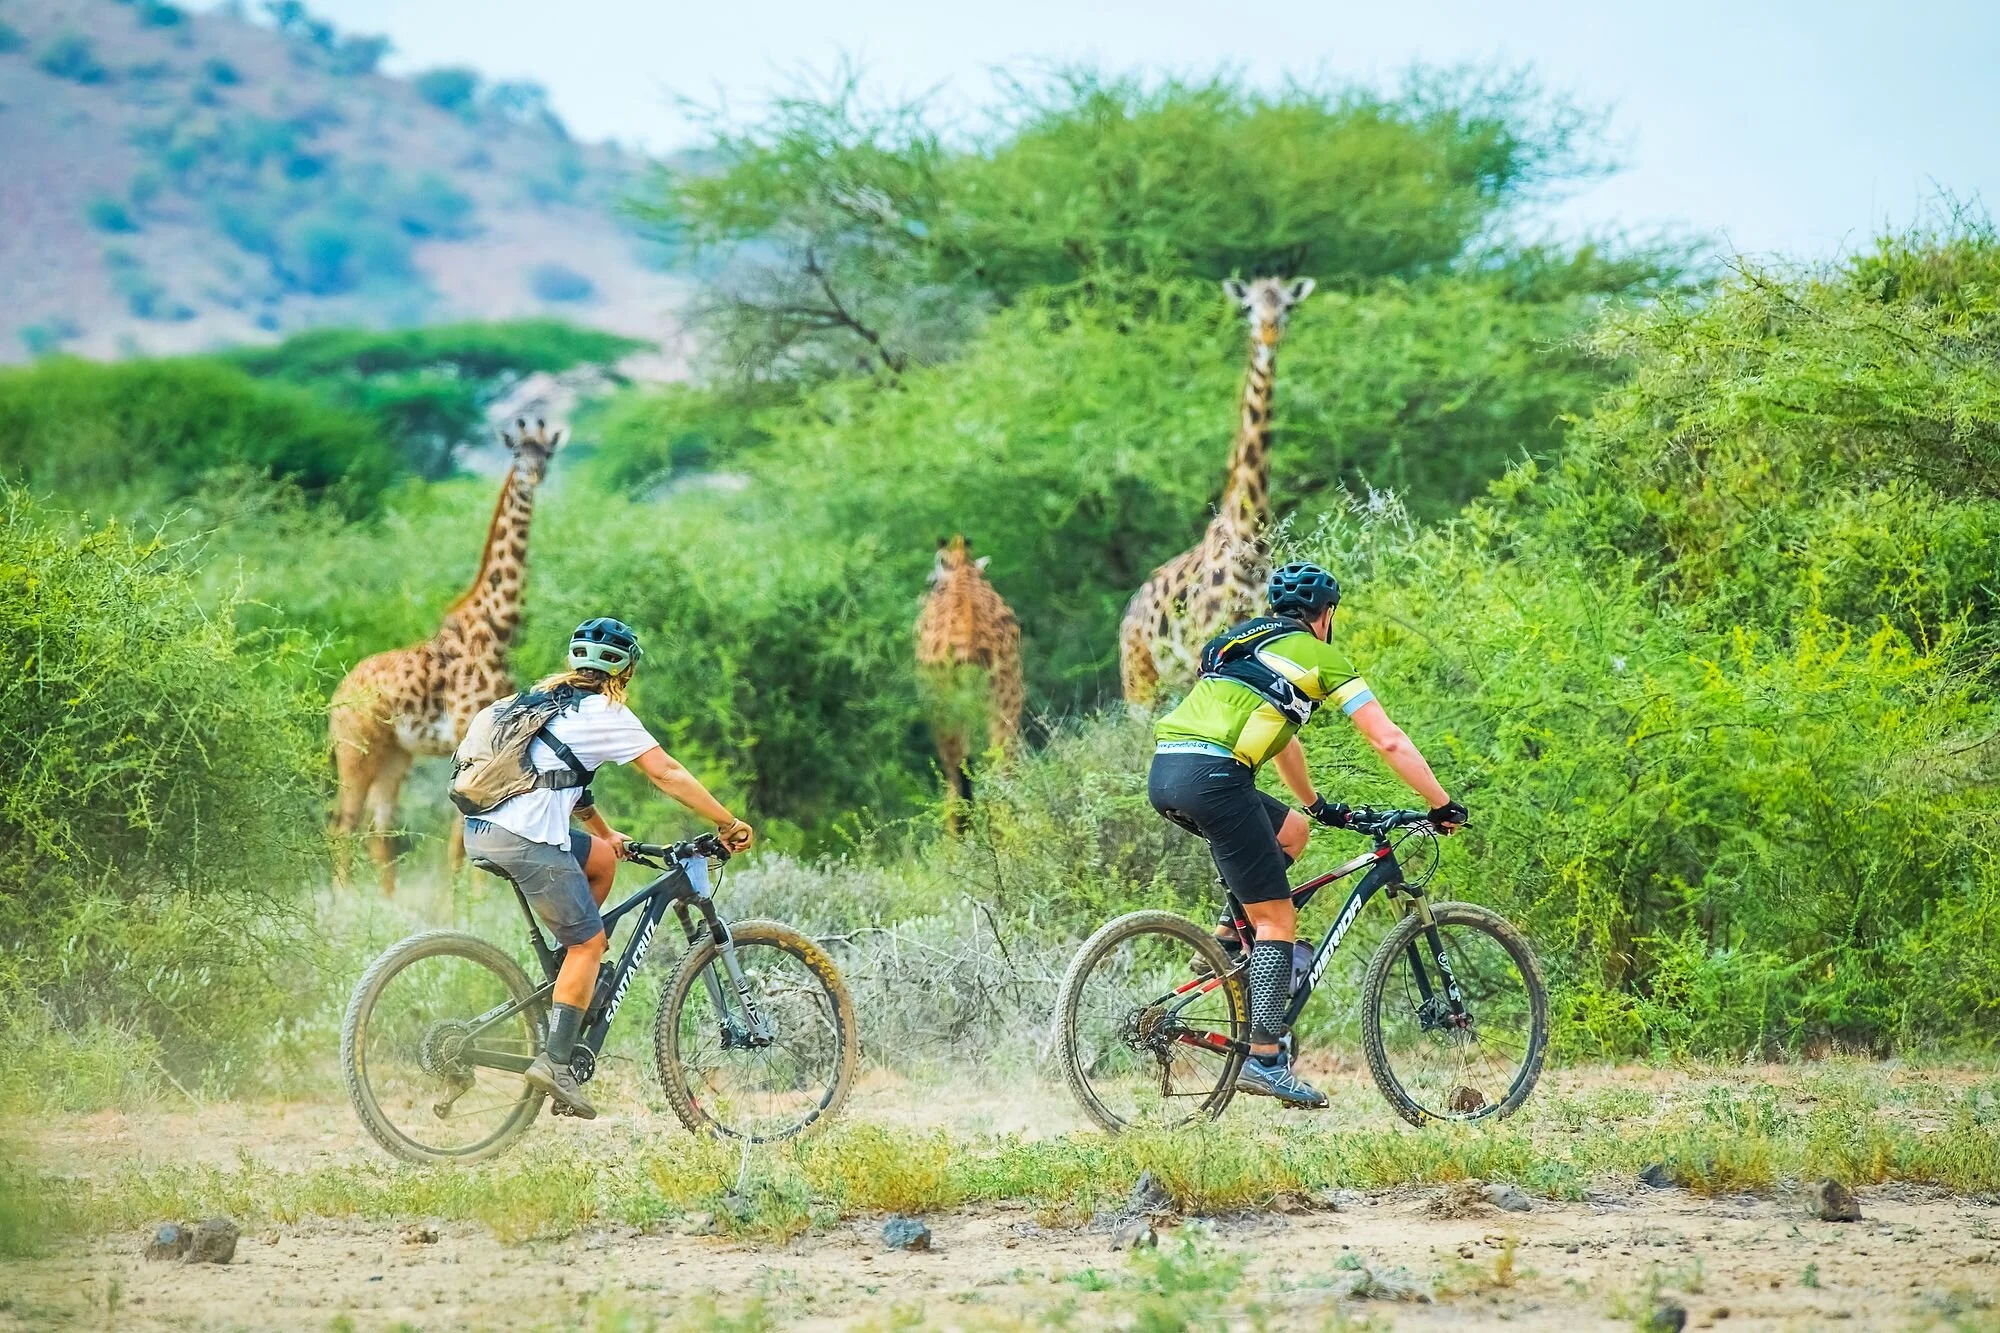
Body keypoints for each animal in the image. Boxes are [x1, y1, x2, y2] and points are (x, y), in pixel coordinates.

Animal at [328, 416, 564, 892]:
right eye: (518, 453)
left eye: (547, 452)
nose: (534, 475)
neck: (497, 631)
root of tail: (335, 697)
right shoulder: (466, 738)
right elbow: (461, 839)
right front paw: (464, 903)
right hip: (355, 749)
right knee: (345, 823)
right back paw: (341, 903)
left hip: (395, 755)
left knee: (380, 828)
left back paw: (387, 903)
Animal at [1120, 274, 1320, 700]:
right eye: (1247, 307)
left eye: (1287, 306)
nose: (1269, 333)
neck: (1249, 539)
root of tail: (1127, 619)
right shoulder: (1210, 639)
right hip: (1140, 684)